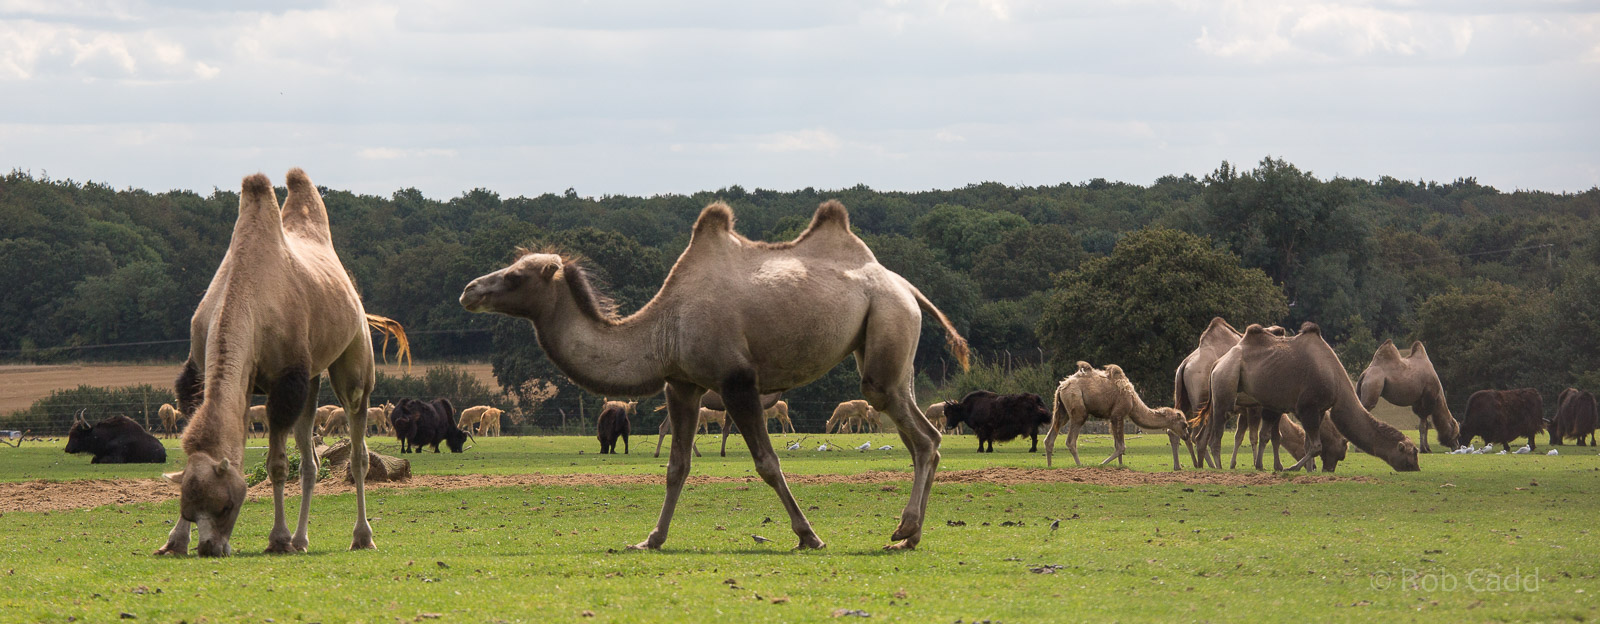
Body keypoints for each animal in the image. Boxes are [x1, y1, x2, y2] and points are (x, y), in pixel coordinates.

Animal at [156, 169, 395, 557]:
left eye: (227, 506)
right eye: (189, 509)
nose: (210, 548)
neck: (247, 298)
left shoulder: (285, 382)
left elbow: (278, 465)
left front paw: (278, 539)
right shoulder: (214, 375)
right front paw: (175, 541)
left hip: (354, 362)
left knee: (358, 449)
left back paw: (360, 537)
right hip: (311, 381)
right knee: (311, 462)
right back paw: (302, 540)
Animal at [461, 200, 968, 550]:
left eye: (515, 277)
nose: (469, 290)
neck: (662, 328)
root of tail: (905, 286)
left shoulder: (736, 380)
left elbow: (767, 462)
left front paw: (809, 536)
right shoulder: (682, 383)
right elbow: (676, 466)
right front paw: (651, 539)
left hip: (886, 330)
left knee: (919, 434)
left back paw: (906, 529)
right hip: (893, 348)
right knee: (924, 436)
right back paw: (909, 534)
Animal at [1046, 362, 1195, 471]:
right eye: (1185, 424)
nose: (1186, 435)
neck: (1133, 400)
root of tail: (1061, 387)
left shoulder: (1116, 417)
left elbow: (1118, 445)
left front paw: (1120, 466)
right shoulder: (1117, 415)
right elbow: (1121, 447)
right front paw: (1101, 464)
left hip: (1062, 410)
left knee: (1050, 437)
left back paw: (1049, 465)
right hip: (1078, 407)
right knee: (1071, 440)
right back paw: (1080, 465)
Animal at [1209, 323, 1420, 472]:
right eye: (1410, 457)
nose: (1417, 468)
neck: (1336, 380)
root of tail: (1217, 363)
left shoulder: (1318, 410)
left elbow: (1308, 443)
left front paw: (1305, 469)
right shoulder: (1307, 408)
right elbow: (1316, 446)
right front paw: (1293, 467)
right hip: (1225, 382)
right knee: (1219, 423)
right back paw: (1218, 465)